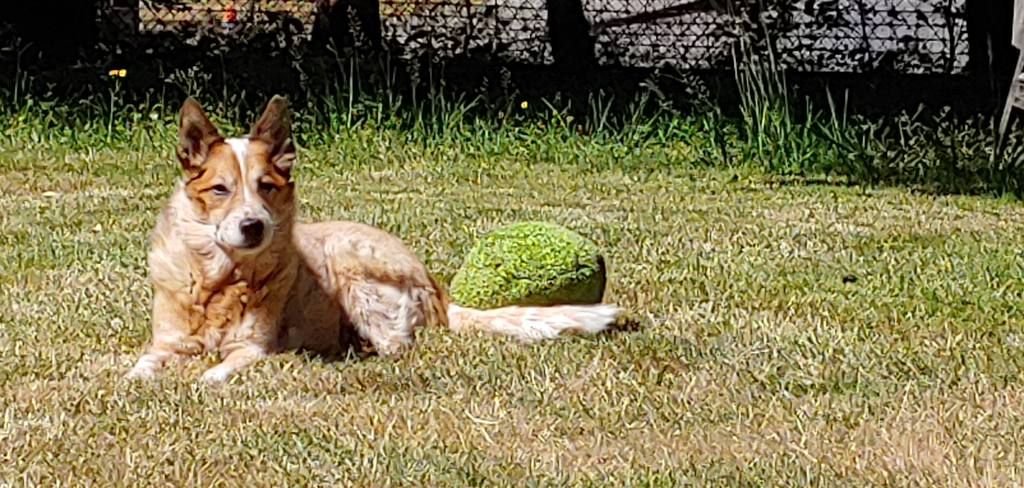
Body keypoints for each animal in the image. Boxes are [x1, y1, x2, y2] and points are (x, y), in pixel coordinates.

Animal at [123, 95, 618, 382]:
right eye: (220, 190)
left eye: (266, 186)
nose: (254, 226)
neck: (220, 281)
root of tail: (438, 292)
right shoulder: (165, 343)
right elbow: (141, 368)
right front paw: (136, 383)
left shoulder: (252, 348)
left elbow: (217, 373)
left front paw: (203, 381)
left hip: (352, 265)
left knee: (400, 347)